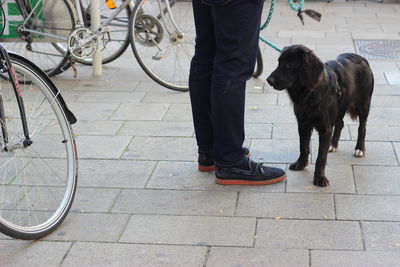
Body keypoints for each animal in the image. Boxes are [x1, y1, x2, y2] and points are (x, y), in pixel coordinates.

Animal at [268, 45, 374, 187]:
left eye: (289, 65)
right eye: (279, 62)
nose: (269, 80)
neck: (309, 93)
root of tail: (362, 58)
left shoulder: (325, 128)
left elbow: (321, 157)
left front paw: (319, 178)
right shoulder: (303, 124)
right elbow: (304, 147)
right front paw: (301, 164)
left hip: (363, 105)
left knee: (362, 128)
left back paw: (359, 149)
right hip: (341, 105)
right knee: (340, 124)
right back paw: (333, 145)